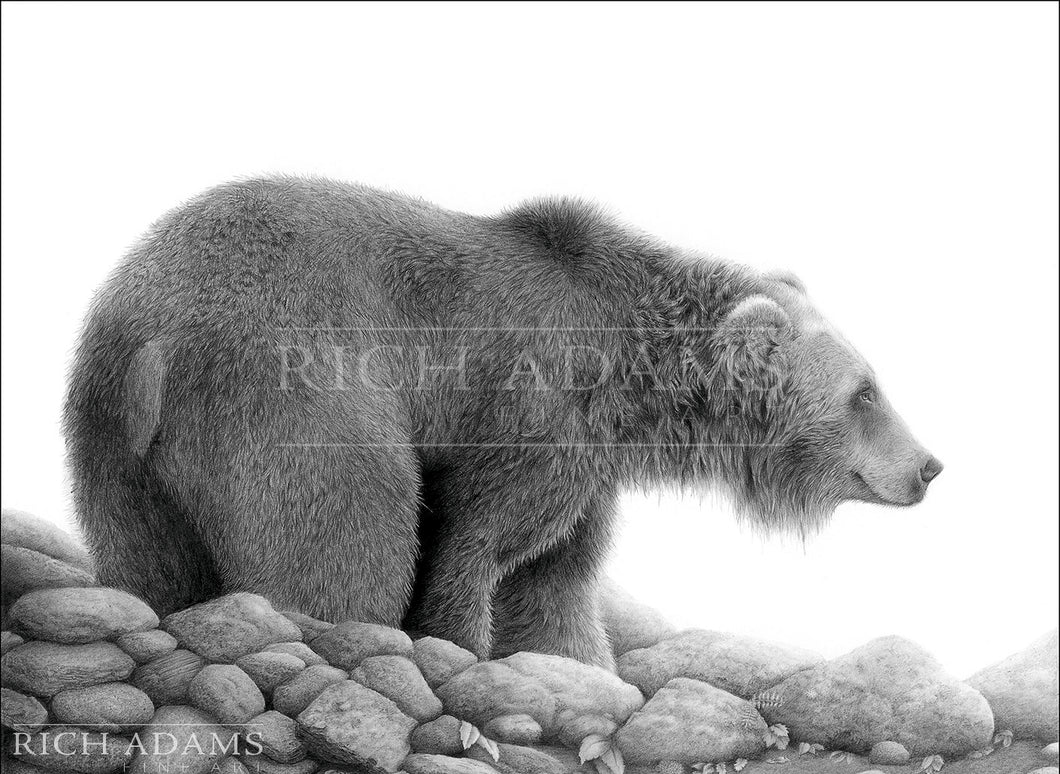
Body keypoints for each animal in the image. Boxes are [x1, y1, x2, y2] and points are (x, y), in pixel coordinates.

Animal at [63, 176, 942, 669]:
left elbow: (550, 582)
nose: (930, 465)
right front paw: (461, 647)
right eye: (865, 391)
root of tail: (148, 340)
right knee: (347, 535)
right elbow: (479, 544)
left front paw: (579, 664)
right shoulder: (533, 416)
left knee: (149, 559)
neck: (630, 382)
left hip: (112, 447)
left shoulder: (589, 468)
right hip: (294, 388)